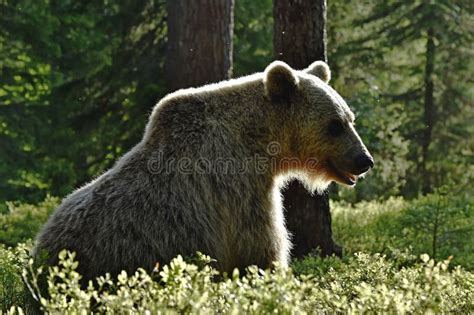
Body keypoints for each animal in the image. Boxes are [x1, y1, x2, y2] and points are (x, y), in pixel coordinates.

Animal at [33, 59, 374, 282]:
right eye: (334, 125)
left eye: (350, 119)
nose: (364, 160)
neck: (261, 141)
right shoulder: (238, 186)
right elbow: (259, 248)